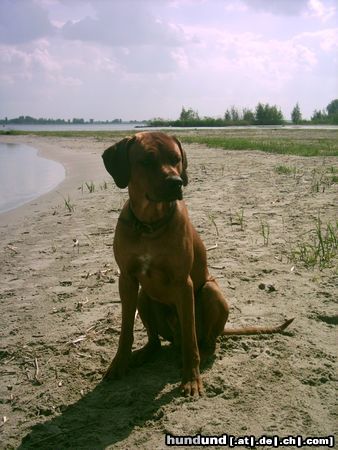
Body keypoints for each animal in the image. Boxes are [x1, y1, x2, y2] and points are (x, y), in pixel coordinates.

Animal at [102, 132, 294, 396]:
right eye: (147, 161)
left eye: (176, 158)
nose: (176, 182)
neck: (150, 224)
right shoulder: (127, 280)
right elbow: (125, 331)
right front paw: (119, 364)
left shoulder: (184, 283)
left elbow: (190, 339)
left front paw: (191, 379)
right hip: (144, 298)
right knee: (156, 340)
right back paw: (146, 352)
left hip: (211, 292)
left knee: (205, 340)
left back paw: (202, 353)